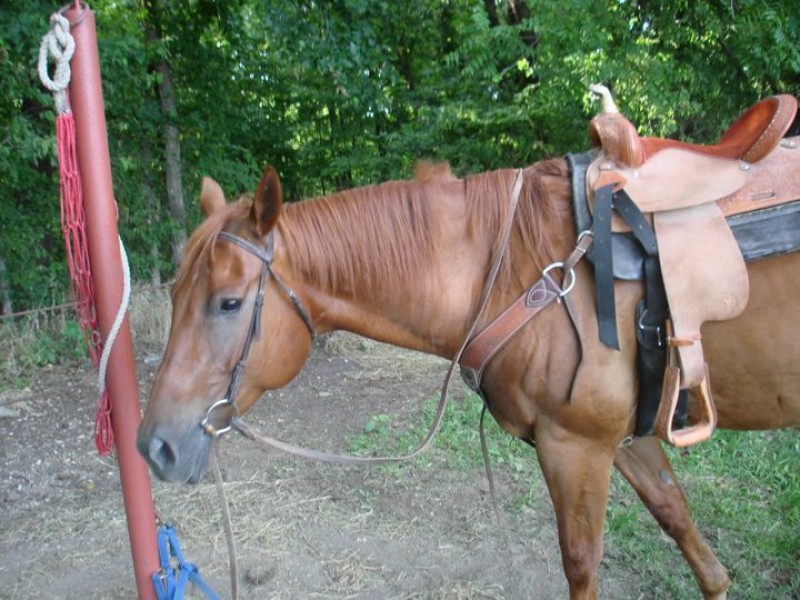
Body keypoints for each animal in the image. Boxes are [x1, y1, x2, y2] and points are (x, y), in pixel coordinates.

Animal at [137, 152, 800, 599]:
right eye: (174, 294)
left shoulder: (576, 447)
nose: (154, 446)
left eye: (228, 303)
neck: (522, 270)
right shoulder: (623, 438)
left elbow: (582, 562)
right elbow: (681, 524)